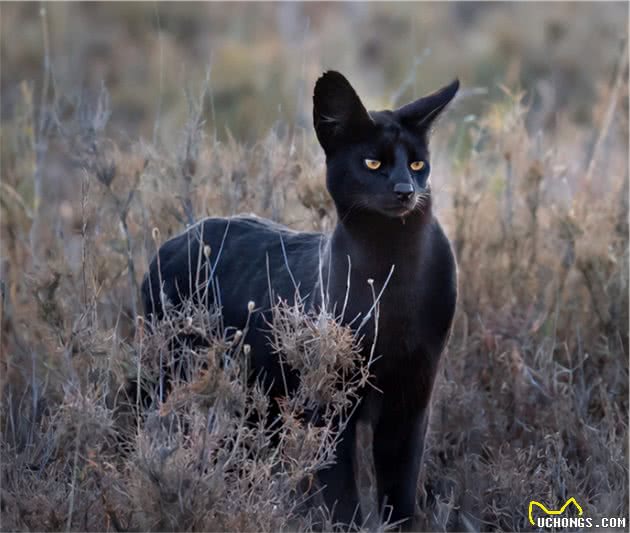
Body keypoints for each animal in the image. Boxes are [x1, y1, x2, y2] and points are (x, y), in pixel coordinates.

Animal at [142, 70, 460, 528]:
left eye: (418, 163)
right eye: (372, 163)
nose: (404, 189)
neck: (393, 269)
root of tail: (174, 240)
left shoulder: (412, 398)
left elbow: (400, 490)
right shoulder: (330, 403)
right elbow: (341, 491)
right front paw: (348, 527)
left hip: (259, 403)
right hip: (172, 373)